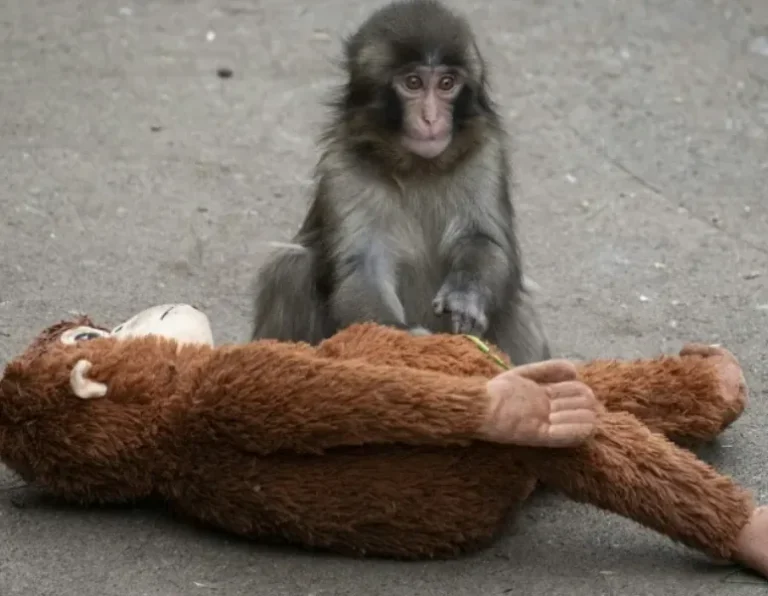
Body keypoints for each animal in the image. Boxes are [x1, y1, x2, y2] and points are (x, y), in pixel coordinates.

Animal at [251, 0, 551, 365]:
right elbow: (363, 267)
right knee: (291, 268)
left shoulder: (485, 156)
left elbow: (484, 240)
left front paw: (465, 296)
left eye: (447, 83)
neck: (418, 167)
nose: (431, 118)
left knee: (515, 304)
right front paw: (407, 339)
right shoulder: (344, 167)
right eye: (413, 83)